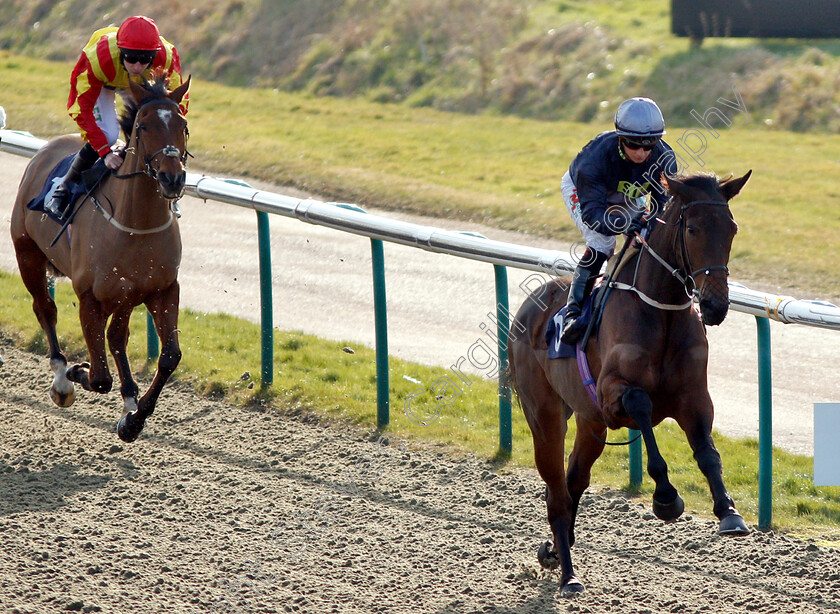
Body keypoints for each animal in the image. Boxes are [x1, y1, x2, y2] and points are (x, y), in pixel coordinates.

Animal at [11, 73, 190, 442]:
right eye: (144, 126)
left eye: (183, 125)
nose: (172, 177)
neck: (137, 224)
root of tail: (44, 150)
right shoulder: (89, 298)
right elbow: (99, 377)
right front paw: (76, 371)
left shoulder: (161, 289)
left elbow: (169, 356)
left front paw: (133, 419)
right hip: (28, 254)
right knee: (45, 309)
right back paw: (62, 380)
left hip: (124, 296)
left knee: (117, 339)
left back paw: (128, 399)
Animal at [508, 170, 752, 596]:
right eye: (692, 228)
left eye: (732, 228)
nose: (715, 305)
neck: (661, 311)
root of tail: (527, 308)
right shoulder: (612, 397)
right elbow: (641, 405)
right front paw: (666, 498)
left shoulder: (695, 399)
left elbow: (708, 453)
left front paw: (729, 512)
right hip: (544, 416)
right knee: (557, 492)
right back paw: (569, 575)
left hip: (589, 425)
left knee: (573, 482)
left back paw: (554, 549)